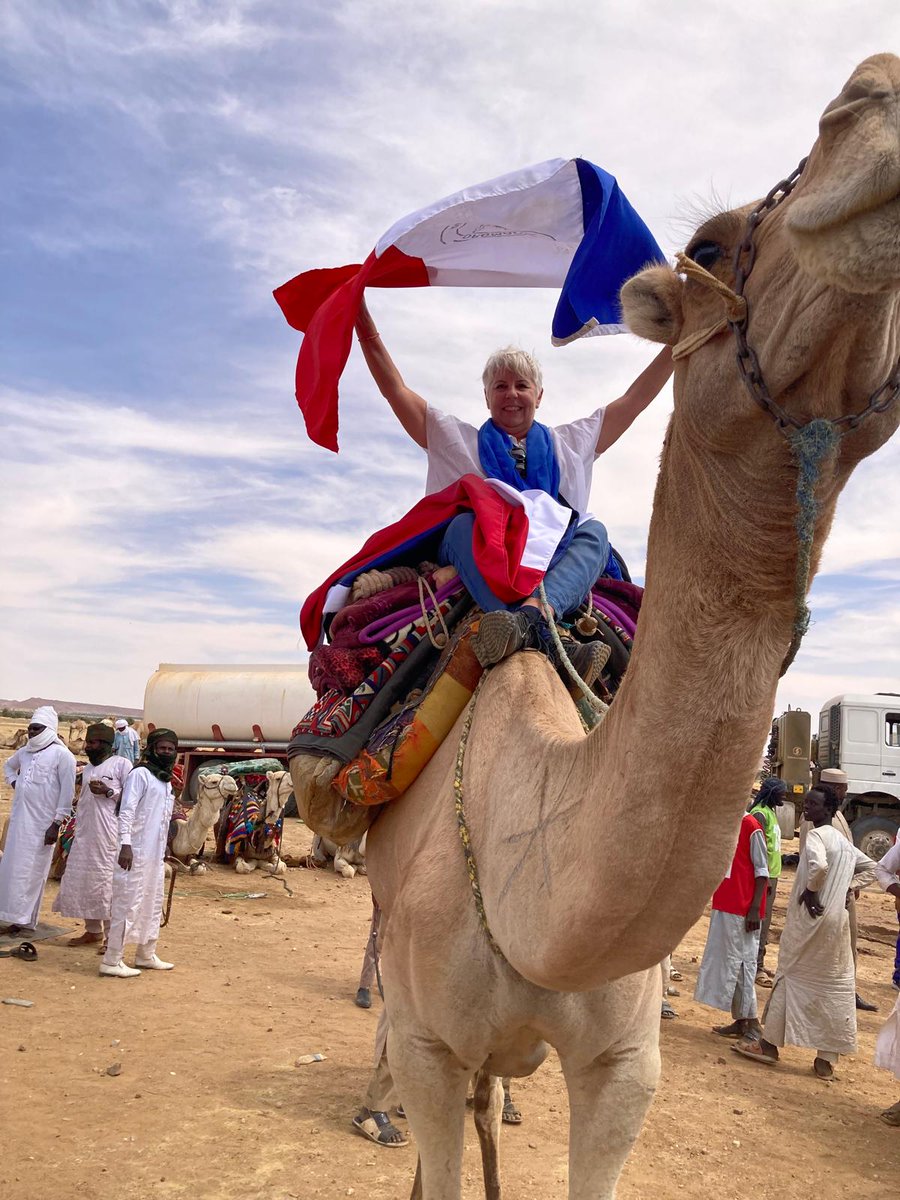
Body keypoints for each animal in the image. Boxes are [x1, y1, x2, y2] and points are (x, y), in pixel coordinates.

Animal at [336, 55, 900, 1199]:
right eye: (708, 249)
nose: (873, 88)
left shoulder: (626, 1067)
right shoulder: (430, 1042)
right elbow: (432, 1118)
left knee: (495, 1091)